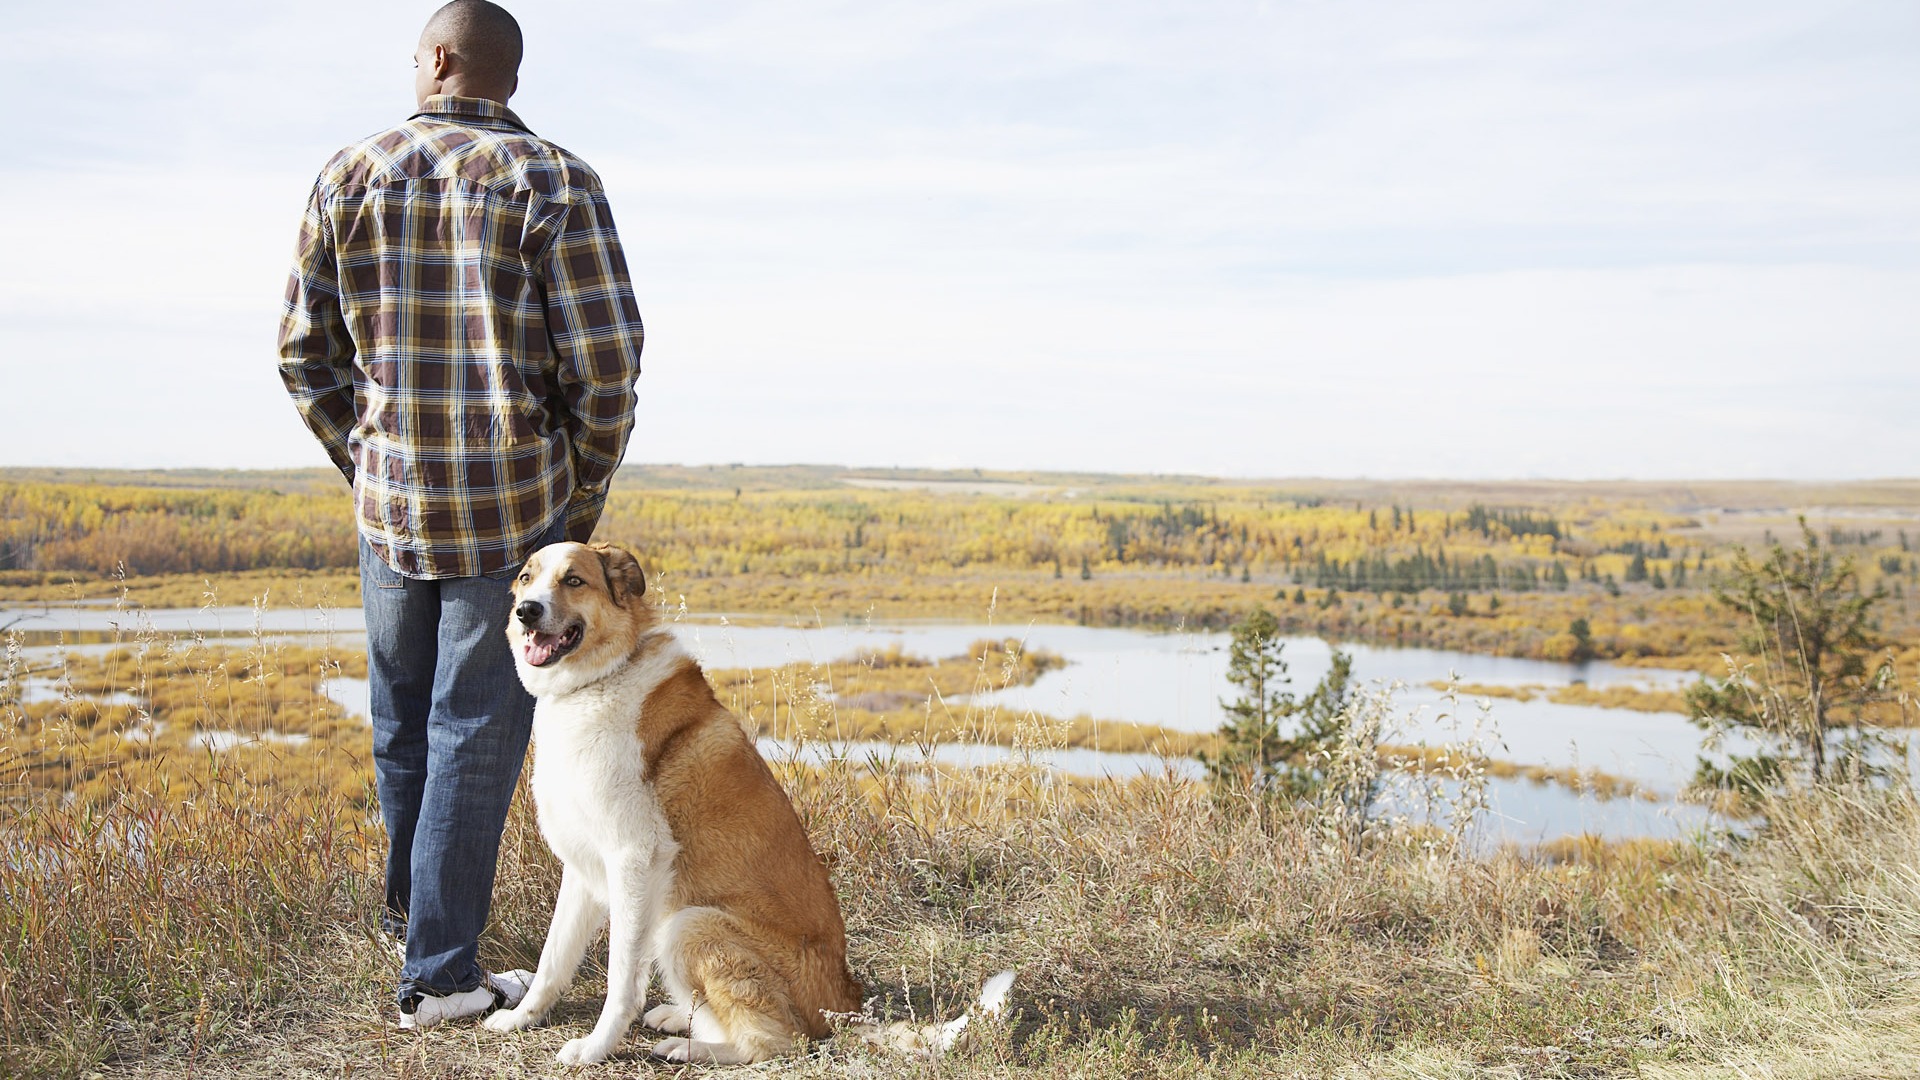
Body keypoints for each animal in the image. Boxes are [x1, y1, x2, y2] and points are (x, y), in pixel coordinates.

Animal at [487, 538, 1013, 1060]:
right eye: (526, 578)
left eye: (574, 580)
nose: (526, 612)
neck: (599, 680)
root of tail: (844, 1011)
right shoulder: (583, 867)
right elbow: (552, 961)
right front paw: (520, 1018)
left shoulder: (634, 859)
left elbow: (621, 979)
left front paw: (596, 1047)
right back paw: (680, 1017)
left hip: (689, 924)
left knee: (772, 1042)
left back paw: (691, 1048)